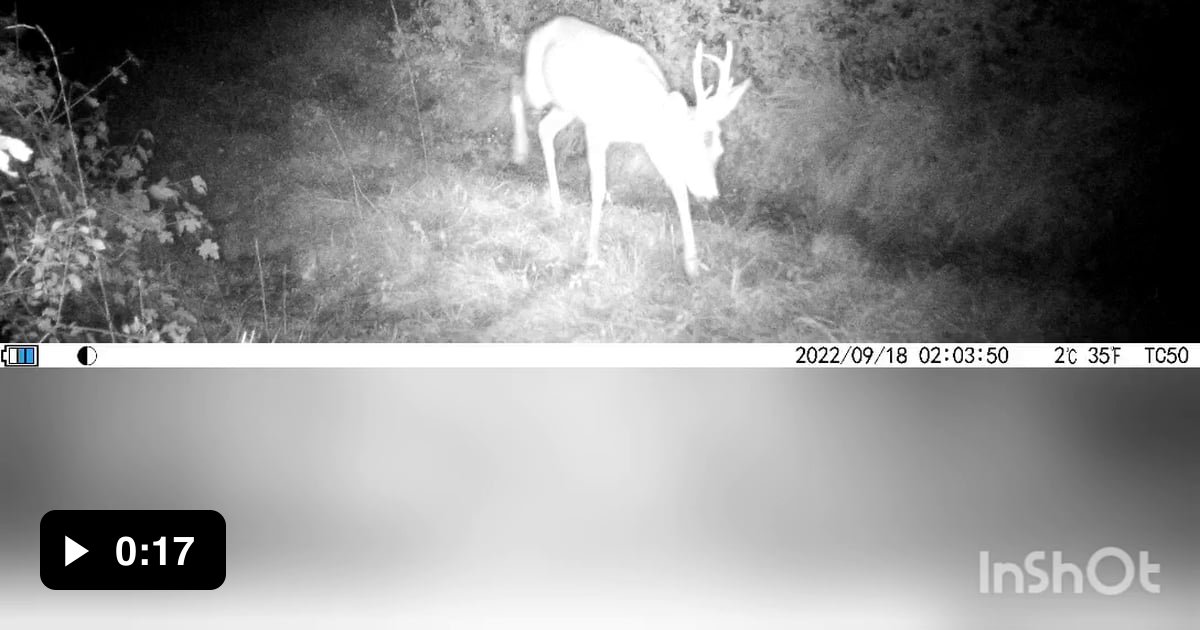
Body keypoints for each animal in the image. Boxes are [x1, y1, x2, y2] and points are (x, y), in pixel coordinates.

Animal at [510, 16, 750, 280]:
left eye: (719, 152)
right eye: (687, 149)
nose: (711, 195)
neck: (640, 114)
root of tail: (543, 26)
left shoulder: (653, 143)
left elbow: (679, 192)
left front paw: (692, 264)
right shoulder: (597, 129)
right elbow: (598, 189)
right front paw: (592, 255)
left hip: (566, 107)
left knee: (545, 128)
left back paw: (556, 203)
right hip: (539, 88)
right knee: (516, 86)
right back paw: (519, 152)